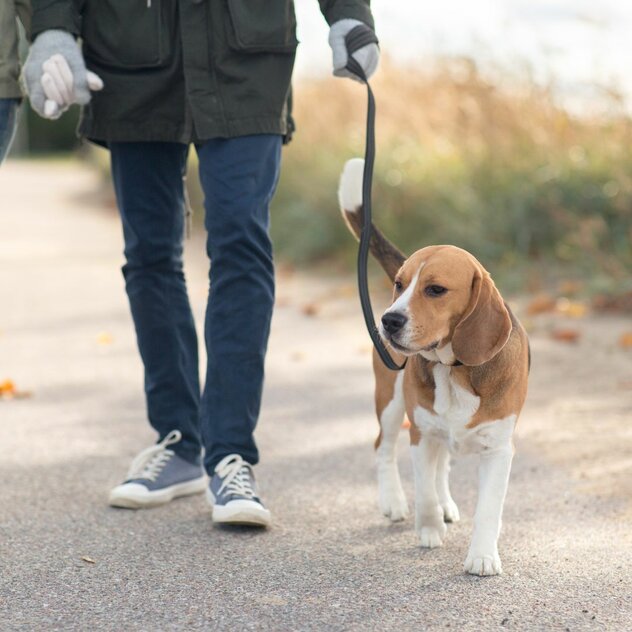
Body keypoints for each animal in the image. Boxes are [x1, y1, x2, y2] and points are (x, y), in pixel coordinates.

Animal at [340, 159, 528, 576]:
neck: (453, 368)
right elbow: (423, 489)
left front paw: (482, 556)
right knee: (383, 447)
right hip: (391, 403)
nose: (388, 321)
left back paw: (446, 505)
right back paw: (394, 501)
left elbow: (488, 509)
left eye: (436, 290)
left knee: (443, 466)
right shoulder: (421, 433)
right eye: (400, 284)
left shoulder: (498, 449)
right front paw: (427, 531)